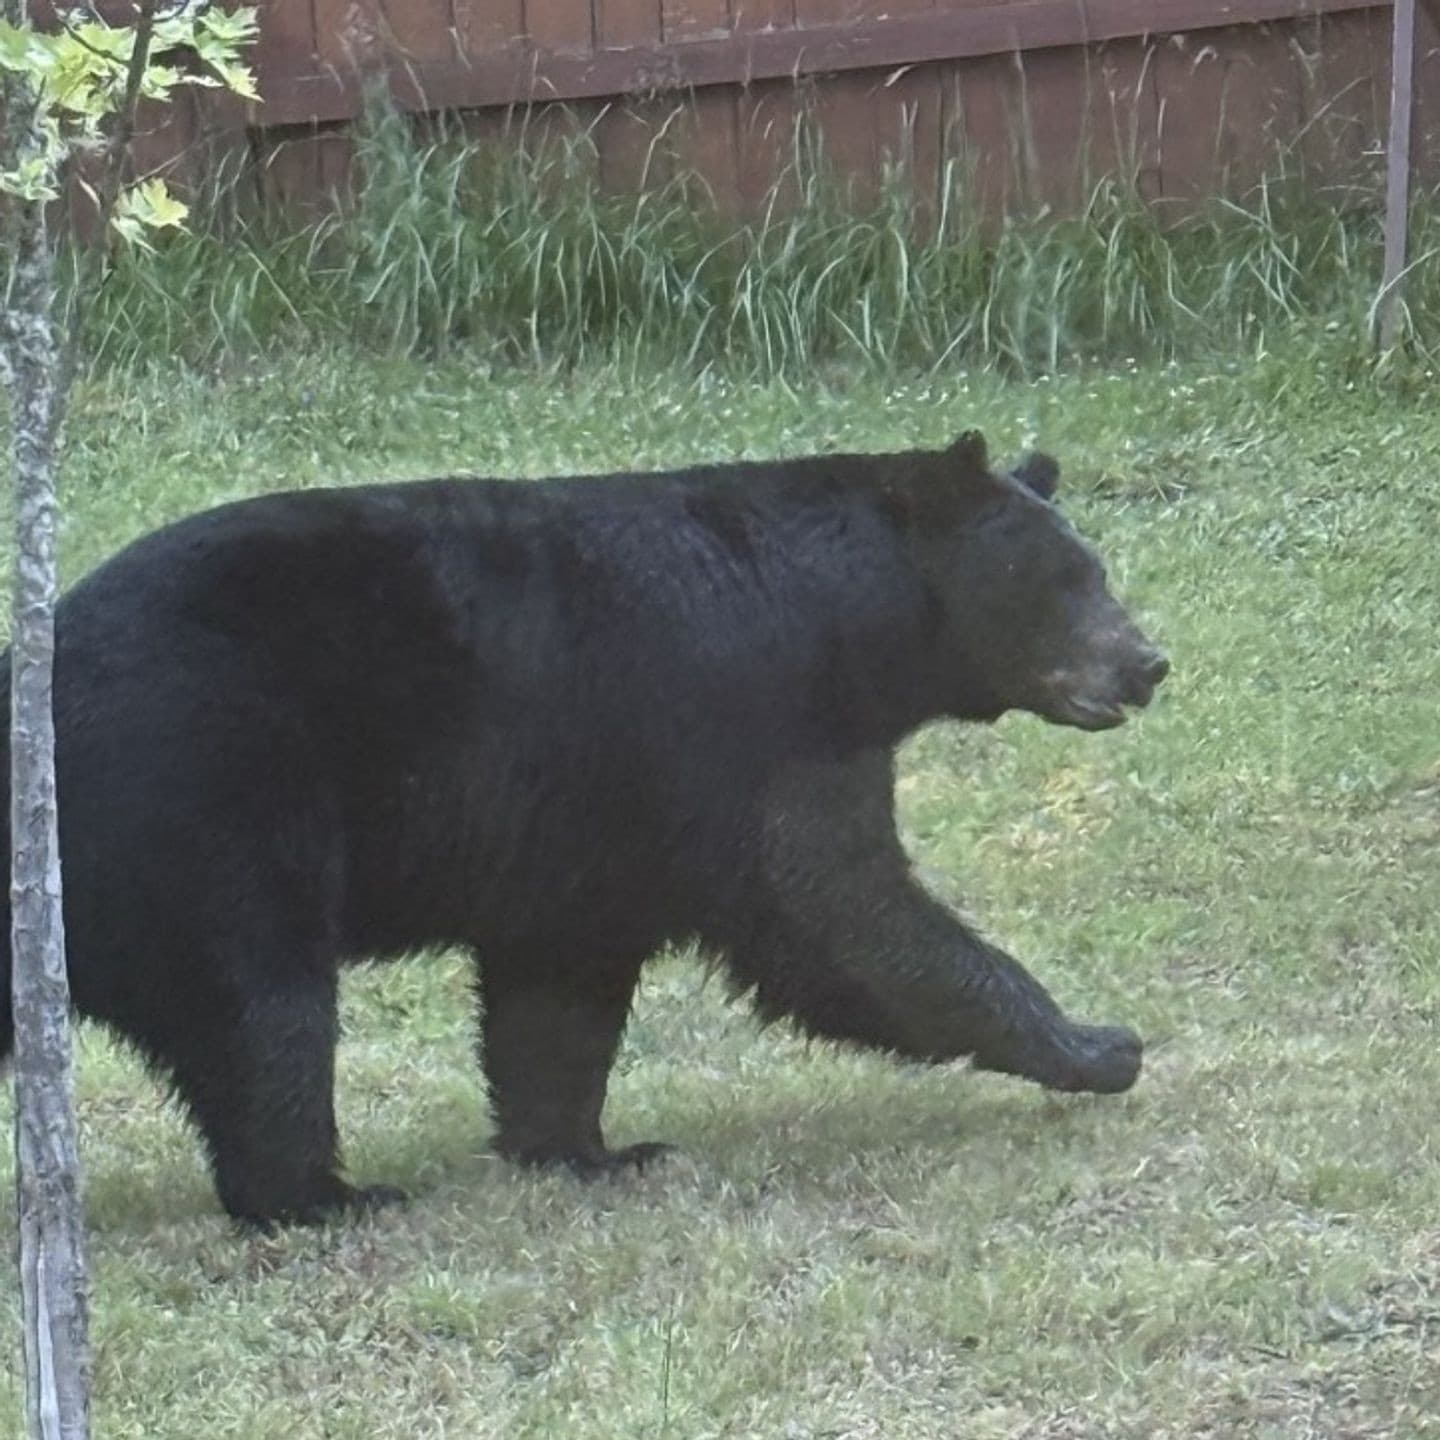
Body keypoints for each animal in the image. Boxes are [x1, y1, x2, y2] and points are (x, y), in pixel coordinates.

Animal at [0, 431, 1168, 1229]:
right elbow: (842, 917)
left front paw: (590, 1150)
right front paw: (1099, 1044)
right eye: (1064, 581)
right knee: (262, 1007)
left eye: (1098, 571)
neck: (837, 618)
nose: (1147, 664)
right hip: (209, 799)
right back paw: (326, 1196)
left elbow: (560, 985)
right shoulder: (751, 733)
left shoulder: (592, 817)